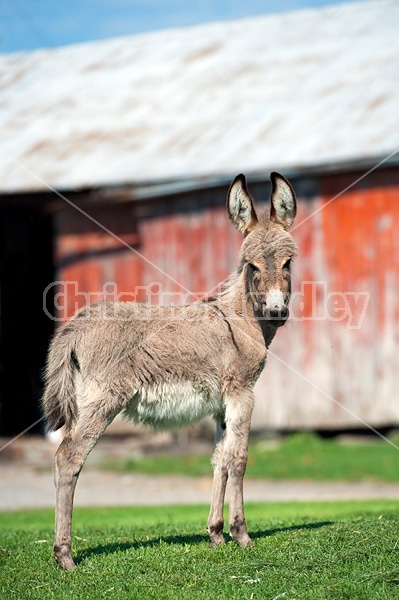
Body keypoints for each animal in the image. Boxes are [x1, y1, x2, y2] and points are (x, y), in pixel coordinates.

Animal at [41, 171, 296, 568]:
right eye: (251, 266)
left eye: (288, 263)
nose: (275, 311)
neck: (240, 320)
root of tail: (74, 326)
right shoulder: (242, 392)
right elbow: (239, 459)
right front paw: (241, 535)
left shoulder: (220, 405)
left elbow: (219, 460)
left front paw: (216, 534)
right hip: (100, 402)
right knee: (68, 459)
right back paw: (64, 556)